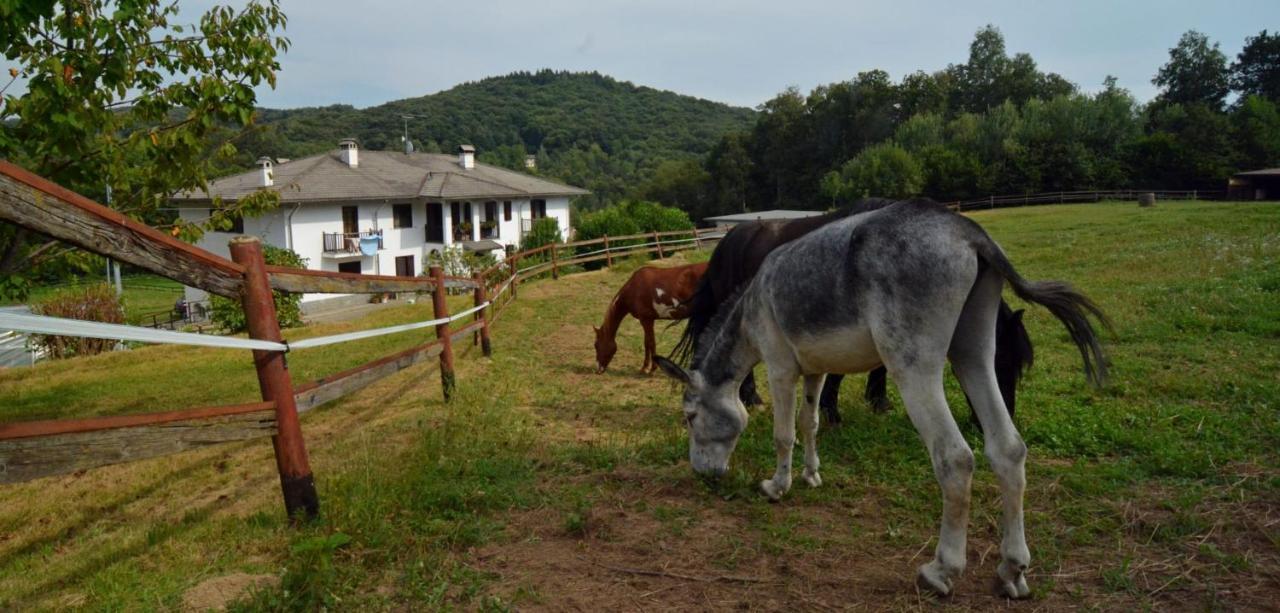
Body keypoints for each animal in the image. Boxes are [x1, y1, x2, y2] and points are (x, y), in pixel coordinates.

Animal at [670, 199, 1029, 424]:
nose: (1003, 415)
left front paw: (878, 401)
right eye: (998, 360)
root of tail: (730, 237)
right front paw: (831, 411)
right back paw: (750, 399)